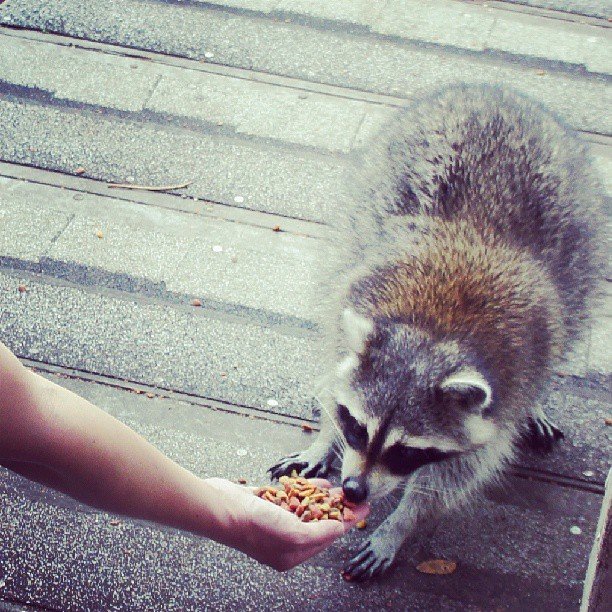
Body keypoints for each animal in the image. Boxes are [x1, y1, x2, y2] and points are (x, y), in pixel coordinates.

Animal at [268, 83, 604, 580]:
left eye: (407, 452)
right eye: (357, 427)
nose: (353, 490)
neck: (432, 334)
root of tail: (495, 91)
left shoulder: (510, 386)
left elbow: (456, 475)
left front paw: (401, 525)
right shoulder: (348, 301)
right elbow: (333, 372)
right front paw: (326, 435)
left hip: (583, 245)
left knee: (569, 322)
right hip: (368, 196)